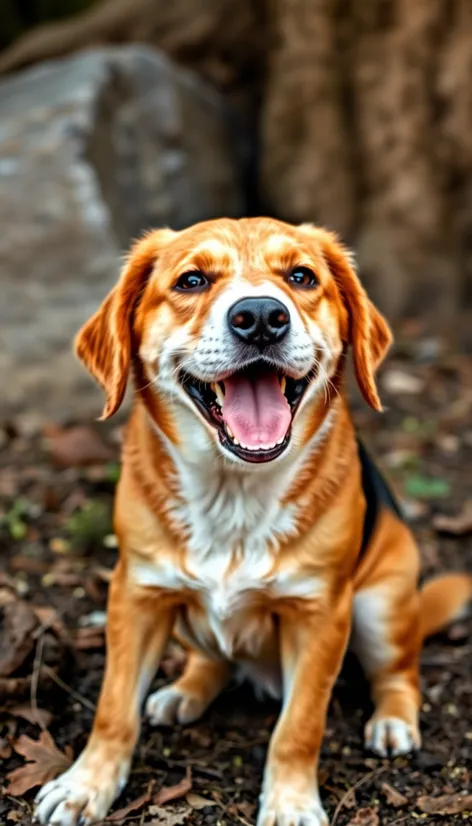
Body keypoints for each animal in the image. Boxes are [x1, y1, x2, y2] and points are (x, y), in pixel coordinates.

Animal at [34, 216, 472, 820]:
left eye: (301, 276)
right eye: (192, 280)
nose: (262, 316)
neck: (234, 491)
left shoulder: (321, 614)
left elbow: (299, 727)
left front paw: (290, 802)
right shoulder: (135, 594)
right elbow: (113, 708)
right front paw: (85, 785)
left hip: (380, 606)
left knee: (398, 673)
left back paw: (392, 721)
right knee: (212, 661)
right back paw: (184, 691)